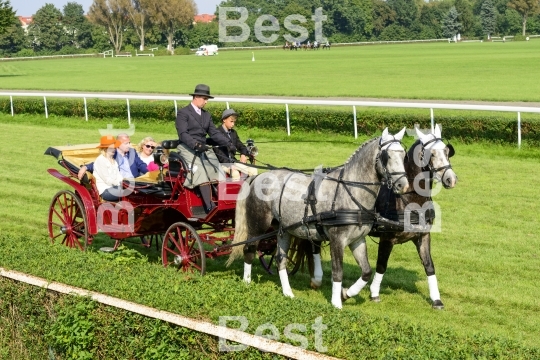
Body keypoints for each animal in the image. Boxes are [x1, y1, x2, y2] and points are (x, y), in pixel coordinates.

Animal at [228, 128, 410, 308]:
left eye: (403, 155)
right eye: (387, 156)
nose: (403, 185)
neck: (349, 192)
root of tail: (258, 177)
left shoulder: (357, 240)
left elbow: (366, 272)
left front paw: (346, 293)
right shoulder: (337, 240)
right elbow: (338, 272)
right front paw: (336, 303)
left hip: (283, 229)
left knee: (280, 259)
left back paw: (287, 293)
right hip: (258, 225)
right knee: (249, 249)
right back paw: (247, 283)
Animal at [368, 124, 456, 310]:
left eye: (447, 151)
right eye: (432, 154)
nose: (451, 179)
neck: (408, 198)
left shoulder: (423, 236)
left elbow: (429, 265)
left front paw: (436, 300)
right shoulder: (386, 238)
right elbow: (381, 264)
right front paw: (374, 293)